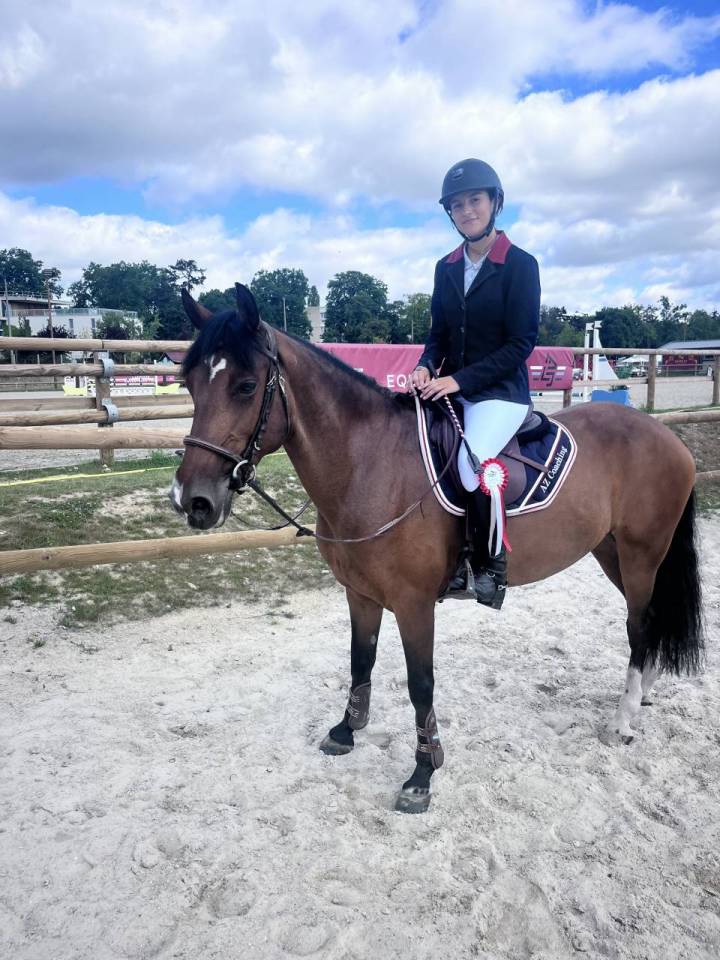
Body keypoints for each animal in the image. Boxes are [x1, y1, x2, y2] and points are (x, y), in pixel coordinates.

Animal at [171, 284, 704, 814]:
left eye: (245, 387)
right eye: (190, 384)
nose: (191, 501)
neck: (368, 465)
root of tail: (667, 435)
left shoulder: (414, 603)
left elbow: (420, 683)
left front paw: (423, 773)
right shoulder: (359, 594)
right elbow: (360, 660)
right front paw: (346, 731)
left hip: (641, 553)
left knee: (640, 625)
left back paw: (624, 719)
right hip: (611, 551)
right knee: (648, 622)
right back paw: (644, 696)